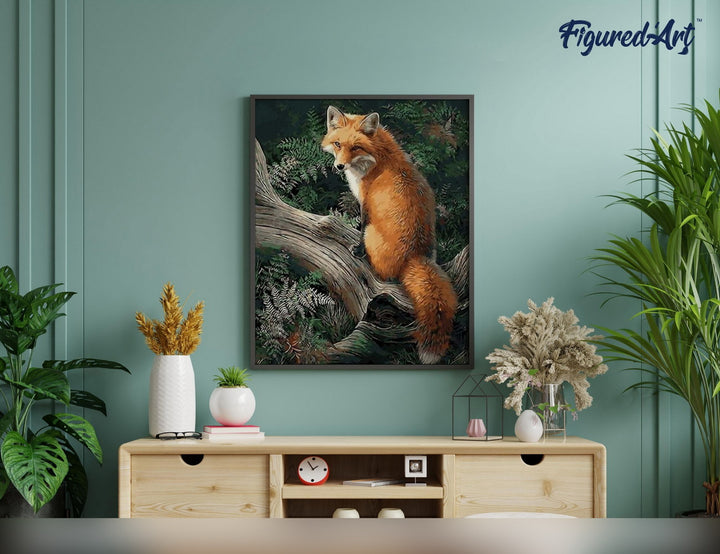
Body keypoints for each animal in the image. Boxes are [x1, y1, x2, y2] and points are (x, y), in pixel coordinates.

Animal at [321, 105, 458, 364]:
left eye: (356, 147)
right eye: (337, 144)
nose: (339, 167)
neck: (378, 158)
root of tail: (415, 256)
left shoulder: (366, 203)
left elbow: (361, 227)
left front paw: (357, 250)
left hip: (373, 235)